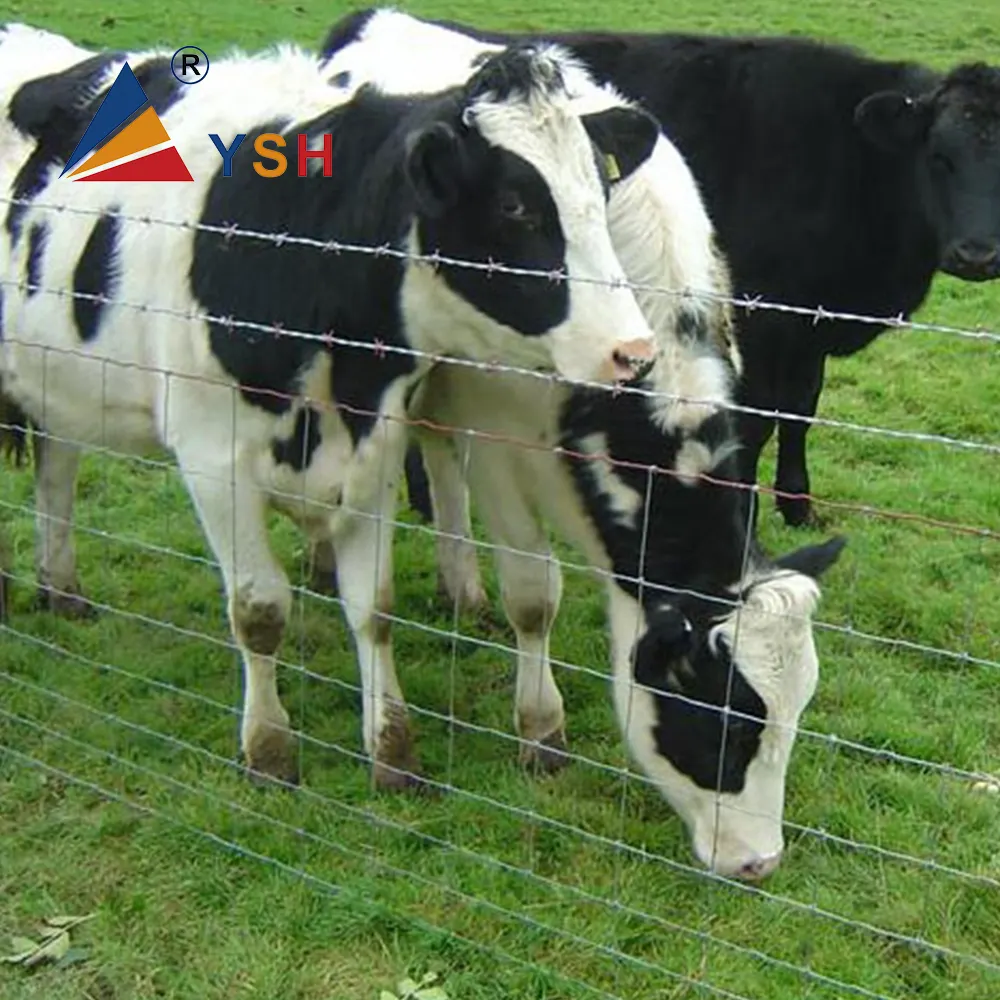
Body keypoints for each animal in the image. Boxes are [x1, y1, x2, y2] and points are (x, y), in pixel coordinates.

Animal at [3, 39, 672, 784]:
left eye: (600, 193)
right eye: (514, 205)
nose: (633, 351)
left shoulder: (374, 446)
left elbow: (373, 608)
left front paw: (392, 750)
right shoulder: (212, 459)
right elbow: (258, 610)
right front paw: (268, 750)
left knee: (57, 469)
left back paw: (61, 588)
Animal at [322, 7, 1000, 532]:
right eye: (938, 156)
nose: (977, 253)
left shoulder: (807, 328)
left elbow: (801, 411)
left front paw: (798, 505)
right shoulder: (760, 322)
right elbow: (756, 422)